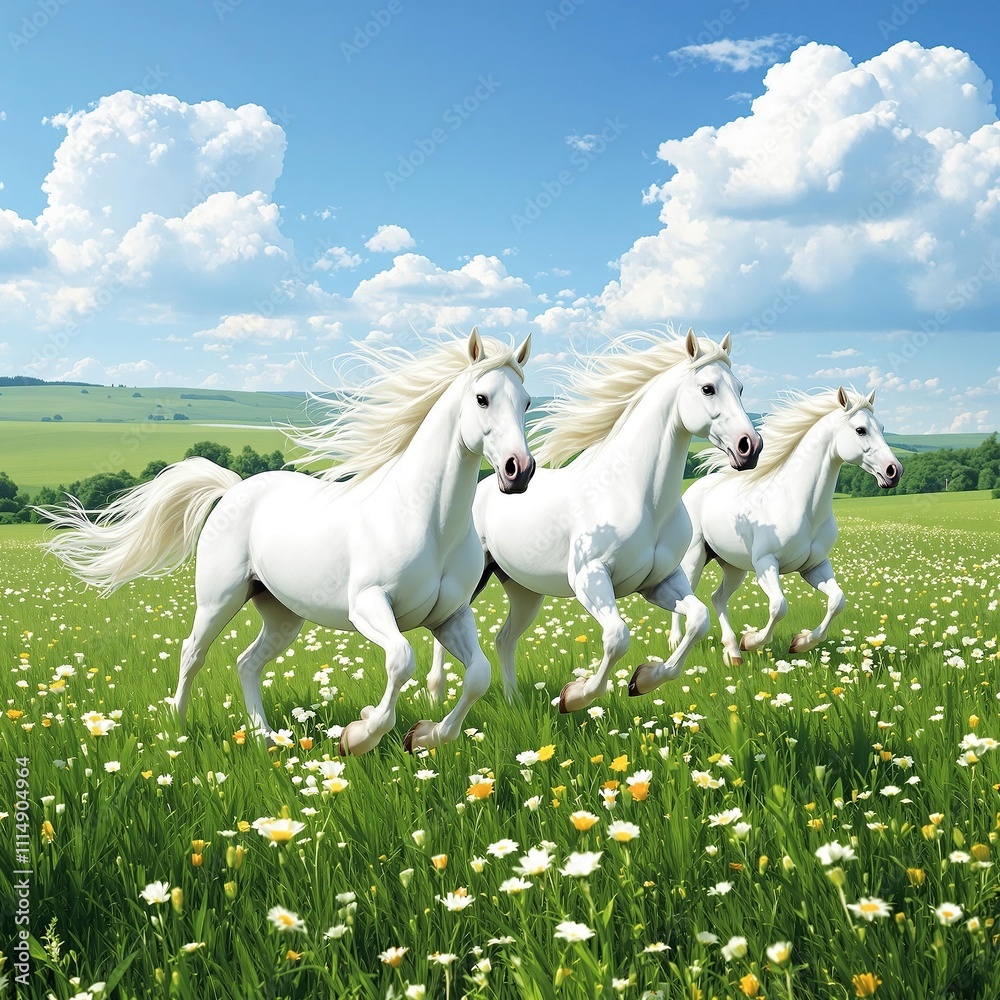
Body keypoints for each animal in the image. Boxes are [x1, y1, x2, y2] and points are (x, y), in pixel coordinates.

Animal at [41, 329, 535, 755]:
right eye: (482, 398)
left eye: (527, 402)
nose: (519, 471)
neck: (427, 521)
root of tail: (234, 488)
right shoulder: (369, 605)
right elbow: (401, 660)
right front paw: (357, 736)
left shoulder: (450, 616)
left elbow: (478, 675)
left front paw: (425, 736)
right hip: (219, 599)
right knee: (192, 654)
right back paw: (177, 731)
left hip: (281, 614)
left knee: (247, 663)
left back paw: (267, 740)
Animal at [427, 328, 762, 713]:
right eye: (708, 388)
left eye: (740, 388)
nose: (750, 448)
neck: (636, 494)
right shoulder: (590, 577)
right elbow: (617, 636)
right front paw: (574, 696)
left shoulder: (660, 581)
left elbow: (698, 619)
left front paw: (644, 679)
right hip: (476, 580)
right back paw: (435, 694)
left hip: (524, 591)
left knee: (503, 639)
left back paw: (513, 701)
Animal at [670, 386, 903, 665]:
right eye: (860, 430)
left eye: (882, 427)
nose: (894, 471)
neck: (800, 504)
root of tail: (694, 489)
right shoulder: (766, 563)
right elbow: (779, 606)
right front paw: (752, 641)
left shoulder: (815, 567)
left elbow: (838, 600)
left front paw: (800, 643)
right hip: (695, 557)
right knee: (684, 594)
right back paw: (677, 642)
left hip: (733, 566)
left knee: (718, 597)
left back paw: (732, 652)